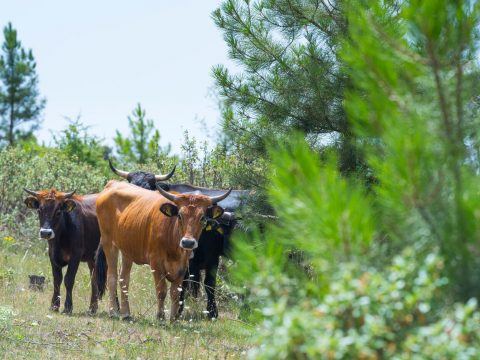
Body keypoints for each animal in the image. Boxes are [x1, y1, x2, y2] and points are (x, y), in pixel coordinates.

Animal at [94, 180, 231, 320]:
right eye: (180, 215)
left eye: (202, 218)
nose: (188, 242)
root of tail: (113, 183)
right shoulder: (156, 263)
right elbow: (161, 290)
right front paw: (160, 317)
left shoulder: (183, 267)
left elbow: (176, 292)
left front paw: (173, 318)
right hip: (109, 243)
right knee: (112, 277)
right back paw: (113, 311)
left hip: (127, 250)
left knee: (124, 279)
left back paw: (126, 313)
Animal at [109, 160, 249, 318]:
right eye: (131, 184)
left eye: (148, 187)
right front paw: (180, 310)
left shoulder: (212, 258)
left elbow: (208, 284)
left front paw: (212, 312)